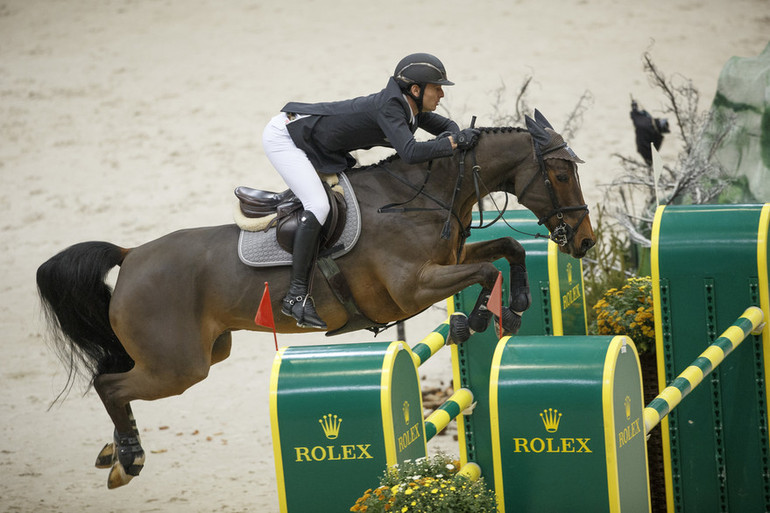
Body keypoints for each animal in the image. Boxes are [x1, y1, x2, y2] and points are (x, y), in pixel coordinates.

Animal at [36, 109, 592, 488]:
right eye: (562, 174)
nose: (585, 242)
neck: (420, 197)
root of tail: (130, 256)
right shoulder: (412, 287)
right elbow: (485, 268)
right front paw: (479, 319)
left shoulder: (446, 263)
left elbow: (506, 250)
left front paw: (510, 306)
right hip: (178, 366)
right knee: (109, 384)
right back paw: (127, 460)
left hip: (206, 353)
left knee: (114, 380)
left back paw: (113, 452)